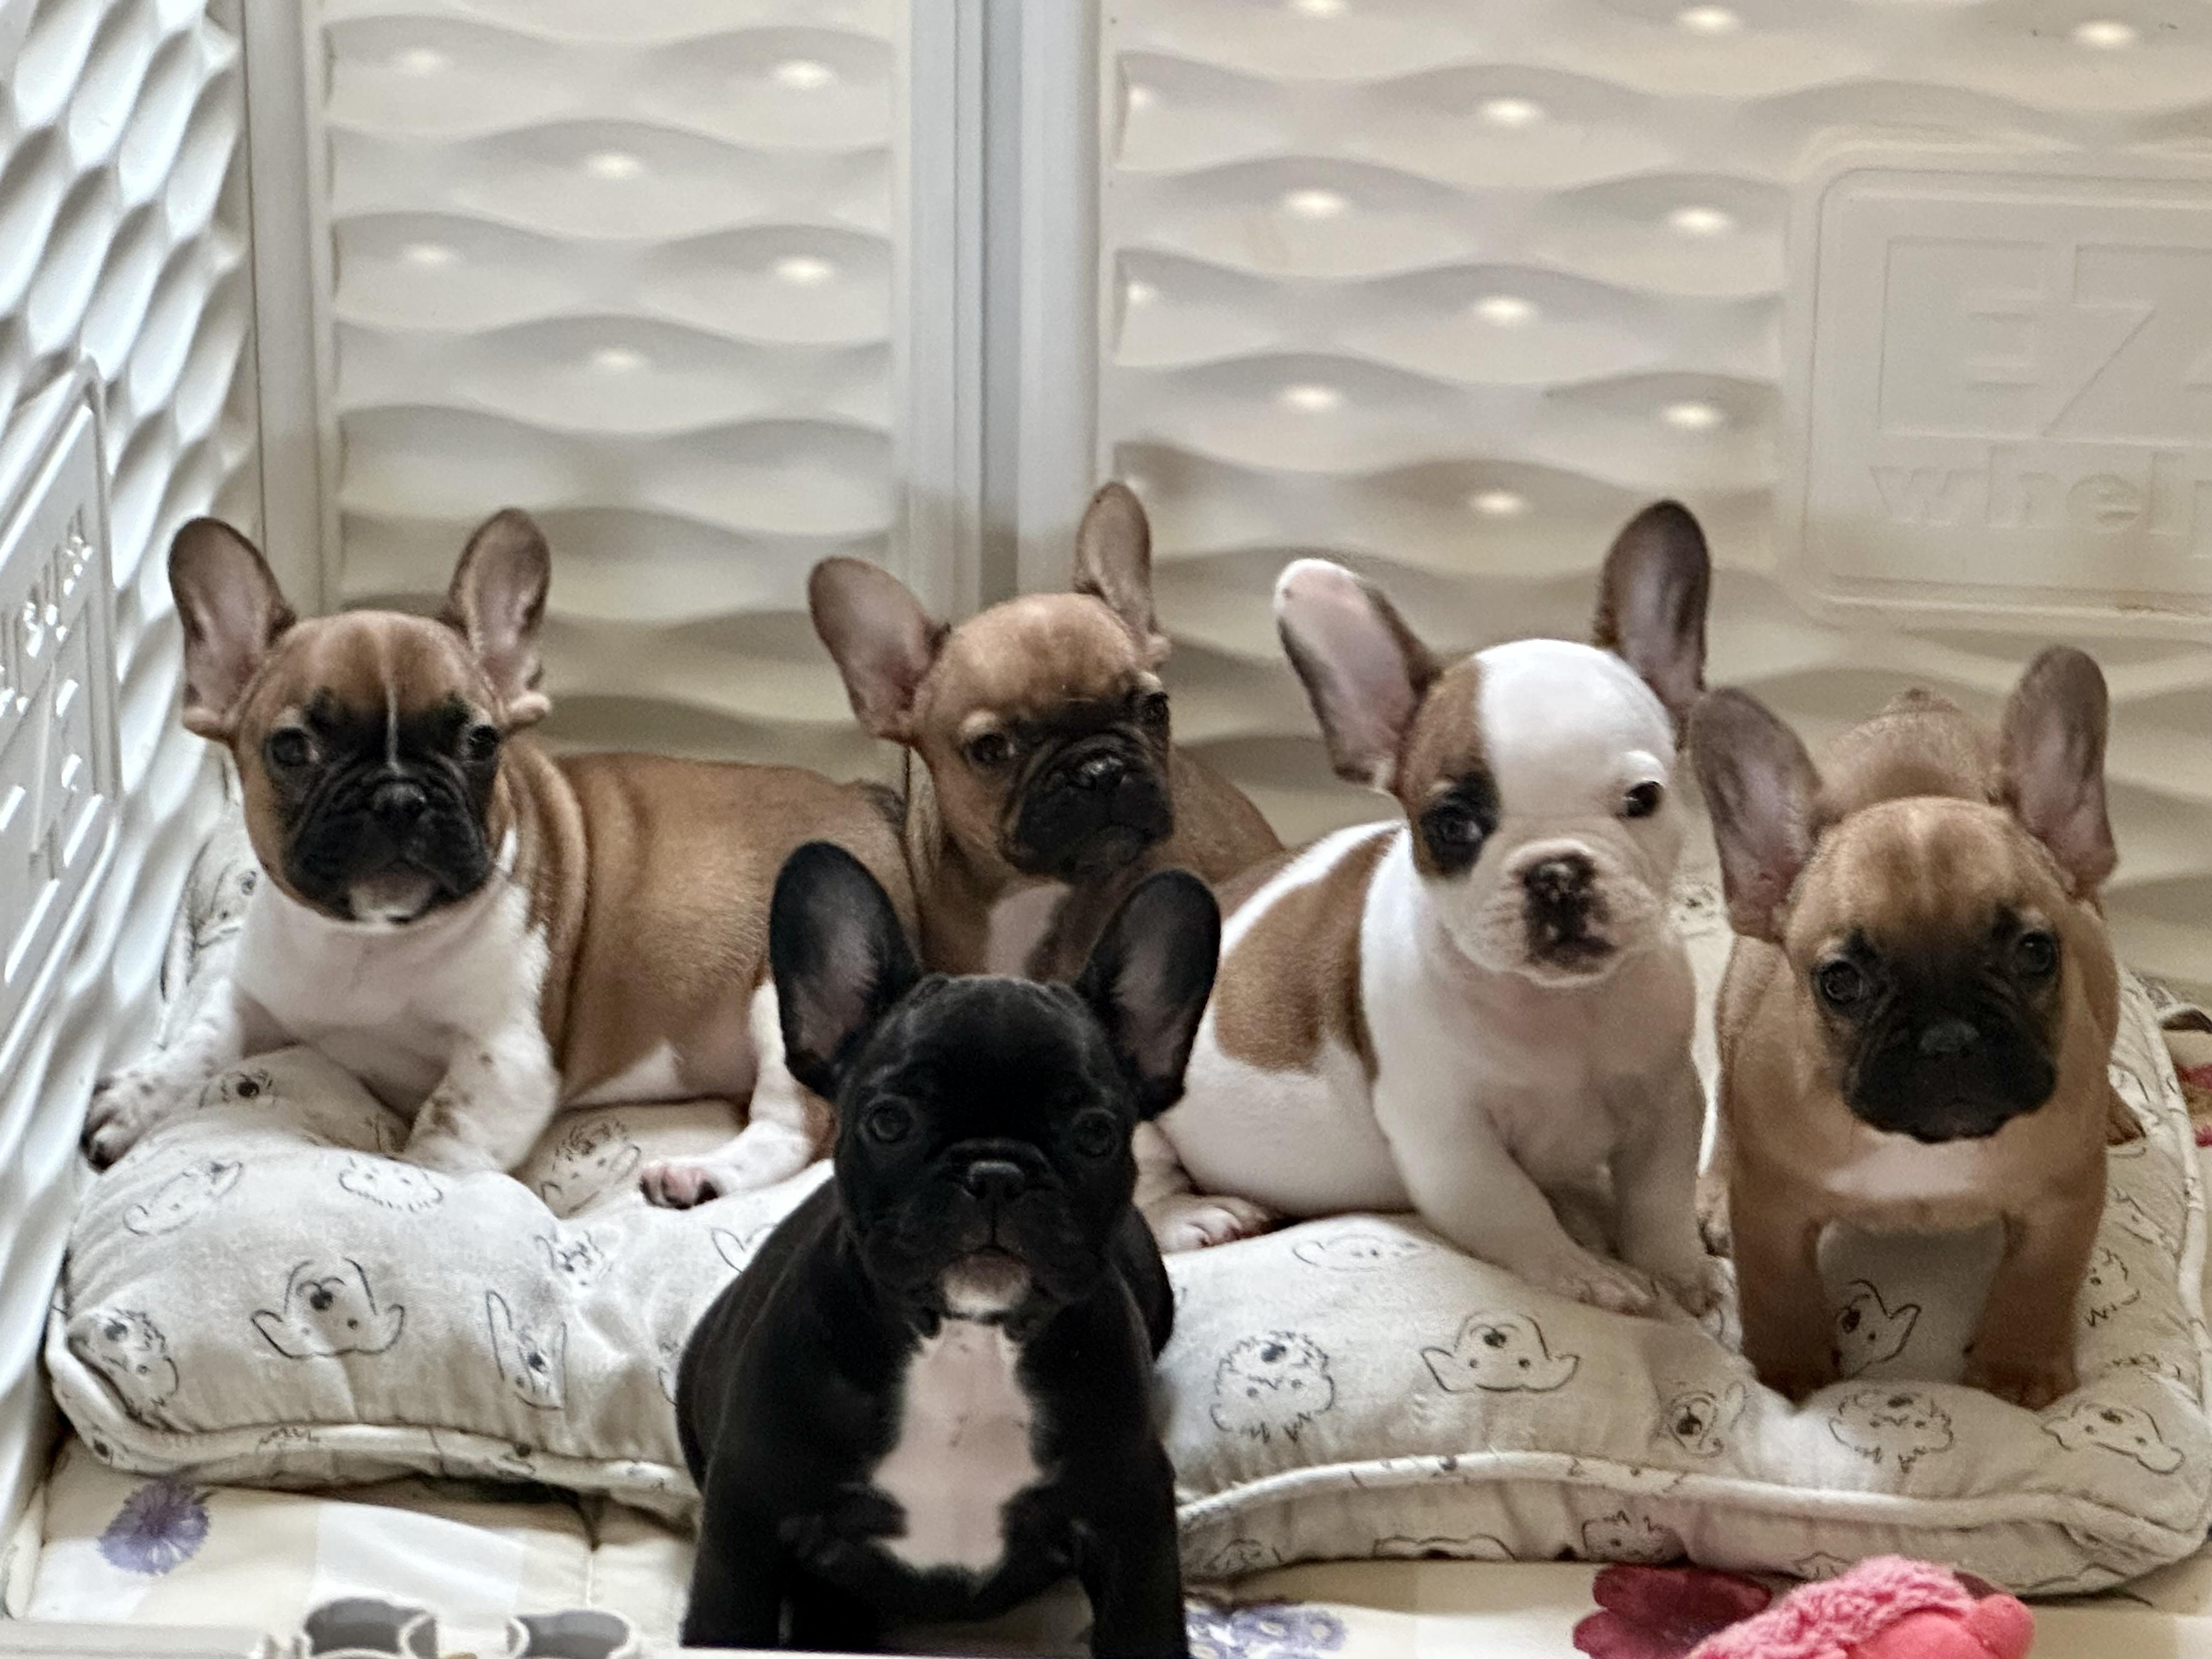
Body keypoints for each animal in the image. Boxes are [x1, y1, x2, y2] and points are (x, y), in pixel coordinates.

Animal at [83, 509, 913, 1196]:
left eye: (480, 743)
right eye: (292, 749)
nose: (399, 795)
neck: (370, 946)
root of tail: (868, 803)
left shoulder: (505, 1061)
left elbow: (446, 1126)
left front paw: (420, 1183)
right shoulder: (255, 995)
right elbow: (201, 1041)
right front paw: (135, 1098)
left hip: (782, 999)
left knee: (796, 1125)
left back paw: (701, 1176)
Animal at [675, 841, 1213, 1656]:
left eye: (1095, 1133)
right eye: (889, 1122)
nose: (994, 1173)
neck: (967, 1345)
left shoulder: (1132, 1523)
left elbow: (1145, 1627)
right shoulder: (748, 1516)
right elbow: (726, 1622)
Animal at [1137, 501, 1719, 1320]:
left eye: (1645, 798)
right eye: (1452, 824)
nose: (1557, 872)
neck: (1561, 1009)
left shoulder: (1666, 1101)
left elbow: (1658, 1198)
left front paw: (1681, 1271)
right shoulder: (1449, 1137)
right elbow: (1513, 1208)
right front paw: (1582, 1274)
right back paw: (1199, 1215)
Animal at [1694, 649, 2128, 1407]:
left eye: (2035, 952)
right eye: (1840, 981)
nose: (1947, 1038)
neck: (1925, 1149)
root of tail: (1917, 702)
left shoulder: (2063, 1200)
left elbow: (2040, 1282)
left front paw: (2016, 1373)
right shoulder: (1772, 1209)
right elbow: (1778, 1291)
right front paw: (1792, 1373)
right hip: (1736, 993)